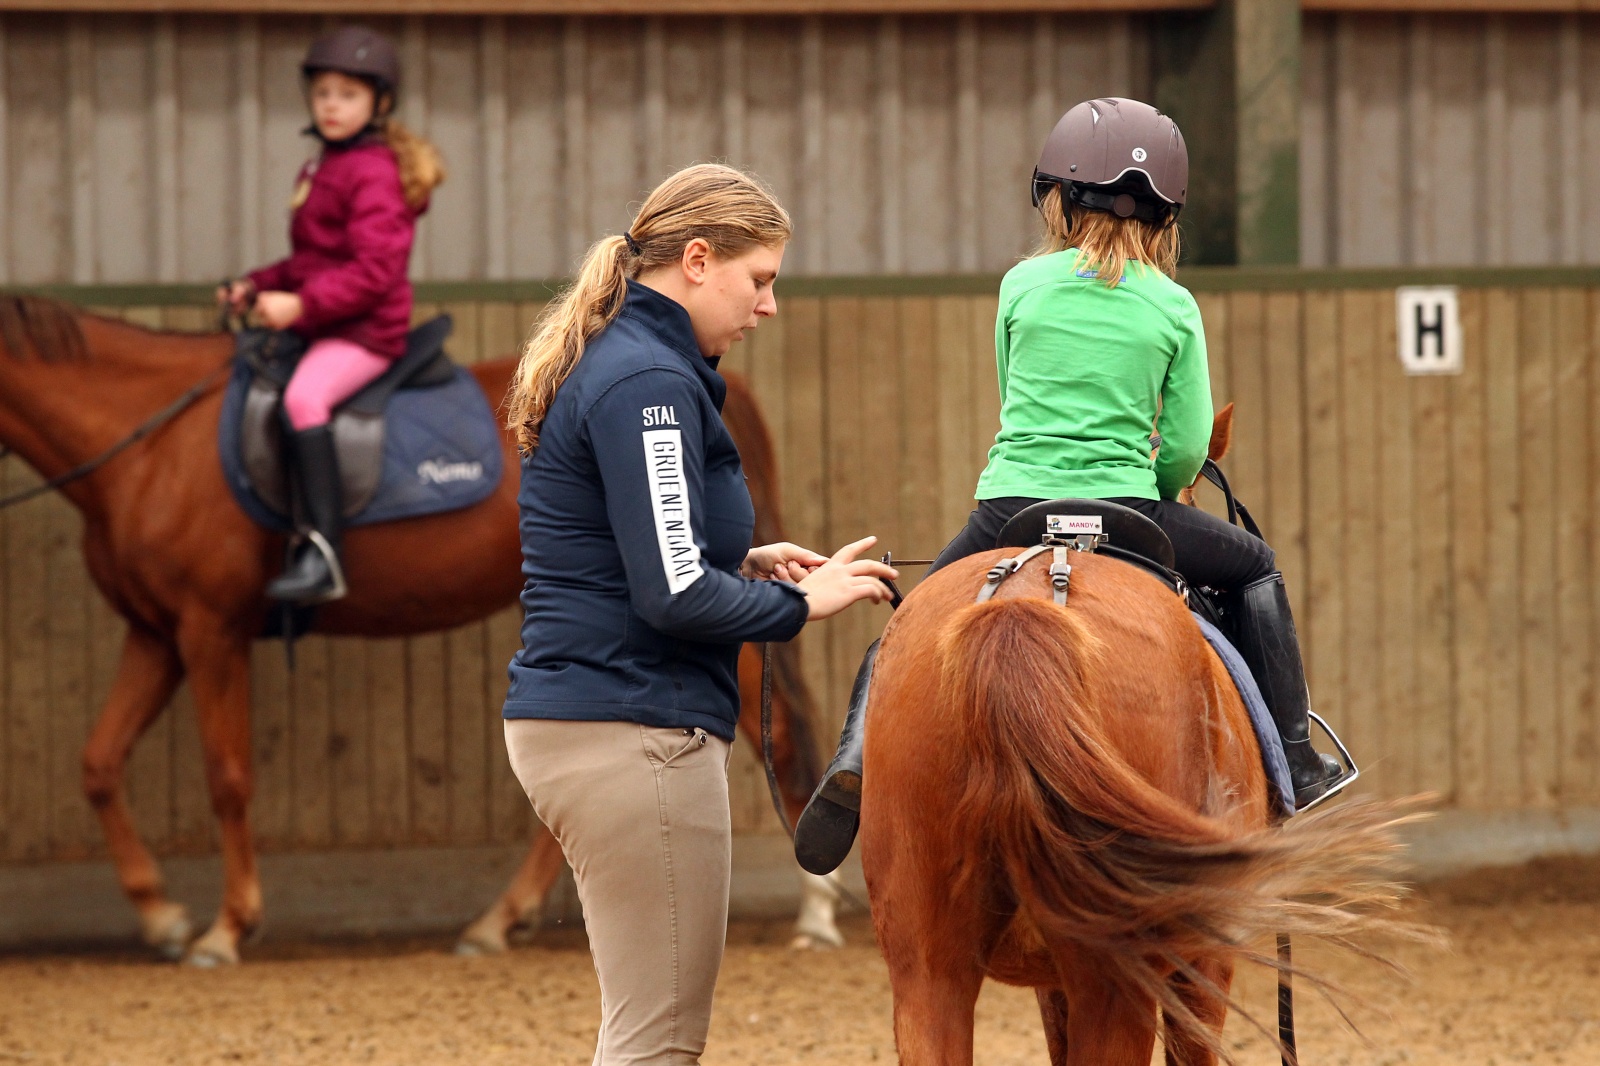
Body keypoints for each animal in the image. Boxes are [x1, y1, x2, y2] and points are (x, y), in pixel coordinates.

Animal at [0, 296, 832, 960]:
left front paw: (226, 928)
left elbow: (228, 777)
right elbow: (99, 763)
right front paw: (161, 914)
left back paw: (815, 914)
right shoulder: (156, 633)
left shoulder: (209, 629)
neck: (149, 440)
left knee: (776, 736)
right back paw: (500, 919)